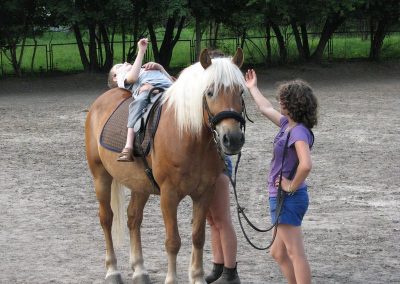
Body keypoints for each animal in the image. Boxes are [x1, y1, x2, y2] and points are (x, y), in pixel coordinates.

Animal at [85, 48, 247, 284]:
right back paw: (112, 270)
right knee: (106, 219)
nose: (232, 139)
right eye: (210, 92)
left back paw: (139, 270)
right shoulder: (169, 195)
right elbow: (173, 241)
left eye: (241, 92)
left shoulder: (204, 193)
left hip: (139, 184)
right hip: (101, 176)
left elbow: (198, 237)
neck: (188, 135)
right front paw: (172, 279)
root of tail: (100, 102)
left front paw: (197, 277)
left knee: (133, 218)